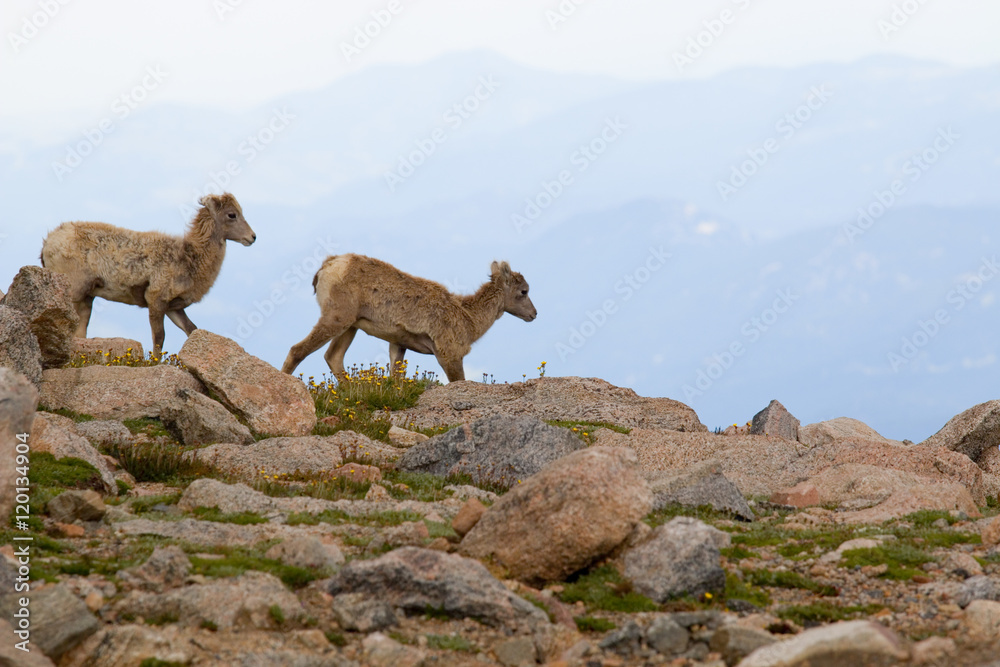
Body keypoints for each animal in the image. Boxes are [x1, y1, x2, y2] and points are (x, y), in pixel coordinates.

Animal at [40, 193, 256, 356]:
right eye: (232, 214)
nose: (252, 237)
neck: (189, 258)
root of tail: (48, 242)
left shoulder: (174, 307)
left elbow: (191, 329)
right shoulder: (156, 300)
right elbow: (159, 338)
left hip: (87, 298)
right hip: (73, 291)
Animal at [281, 254, 537, 382]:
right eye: (524, 291)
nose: (534, 314)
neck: (469, 318)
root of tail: (330, 265)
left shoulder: (398, 344)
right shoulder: (449, 355)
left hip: (350, 326)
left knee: (333, 357)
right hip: (336, 319)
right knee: (297, 350)